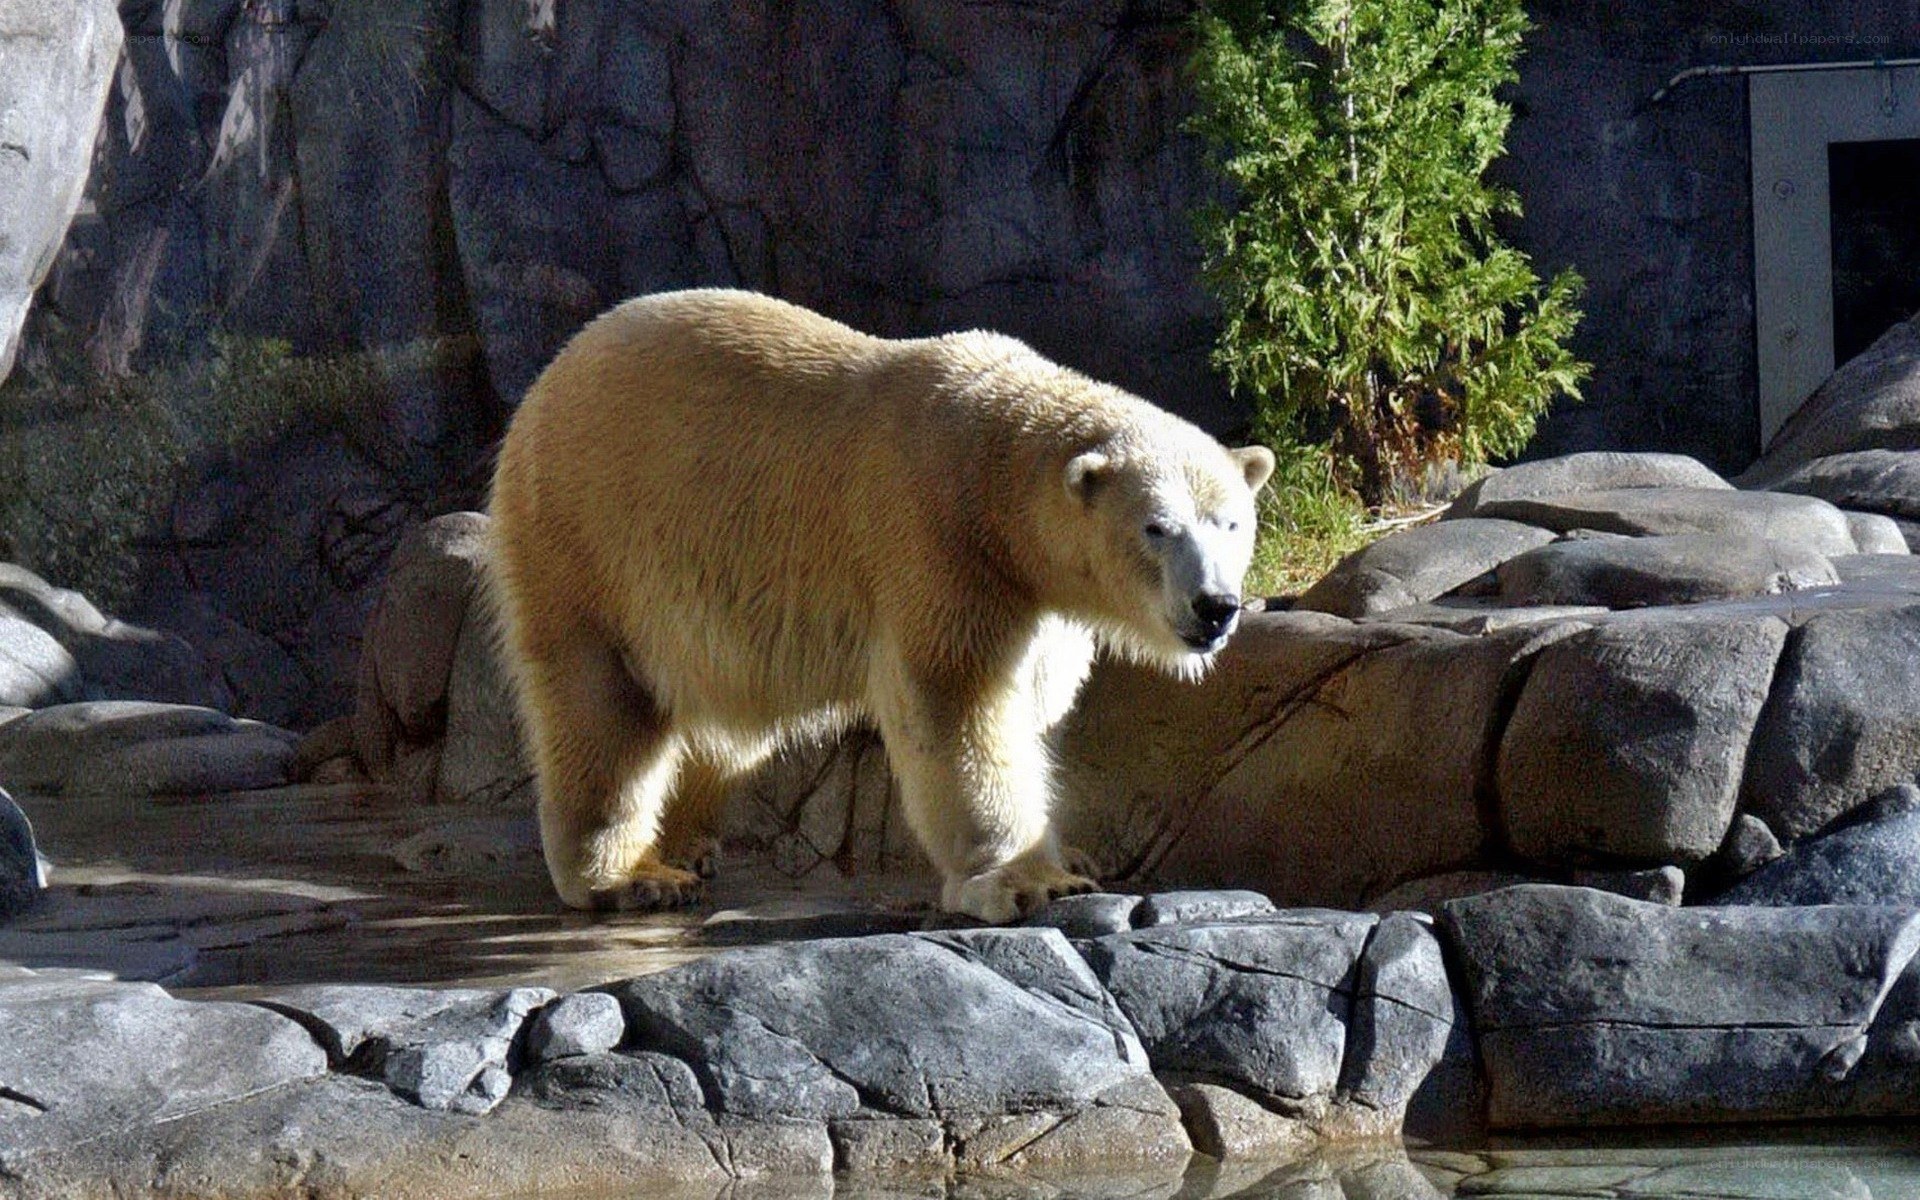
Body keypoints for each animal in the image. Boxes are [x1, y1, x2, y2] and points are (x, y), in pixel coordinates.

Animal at [488, 289, 1275, 922]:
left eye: (1231, 523)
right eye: (1157, 528)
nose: (1216, 606)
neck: (991, 469)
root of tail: (544, 385)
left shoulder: (1036, 596)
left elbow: (1036, 700)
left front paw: (1072, 856)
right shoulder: (936, 541)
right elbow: (956, 704)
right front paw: (1027, 881)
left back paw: (689, 844)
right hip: (588, 538)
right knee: (603, 708)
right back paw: (630, 876)